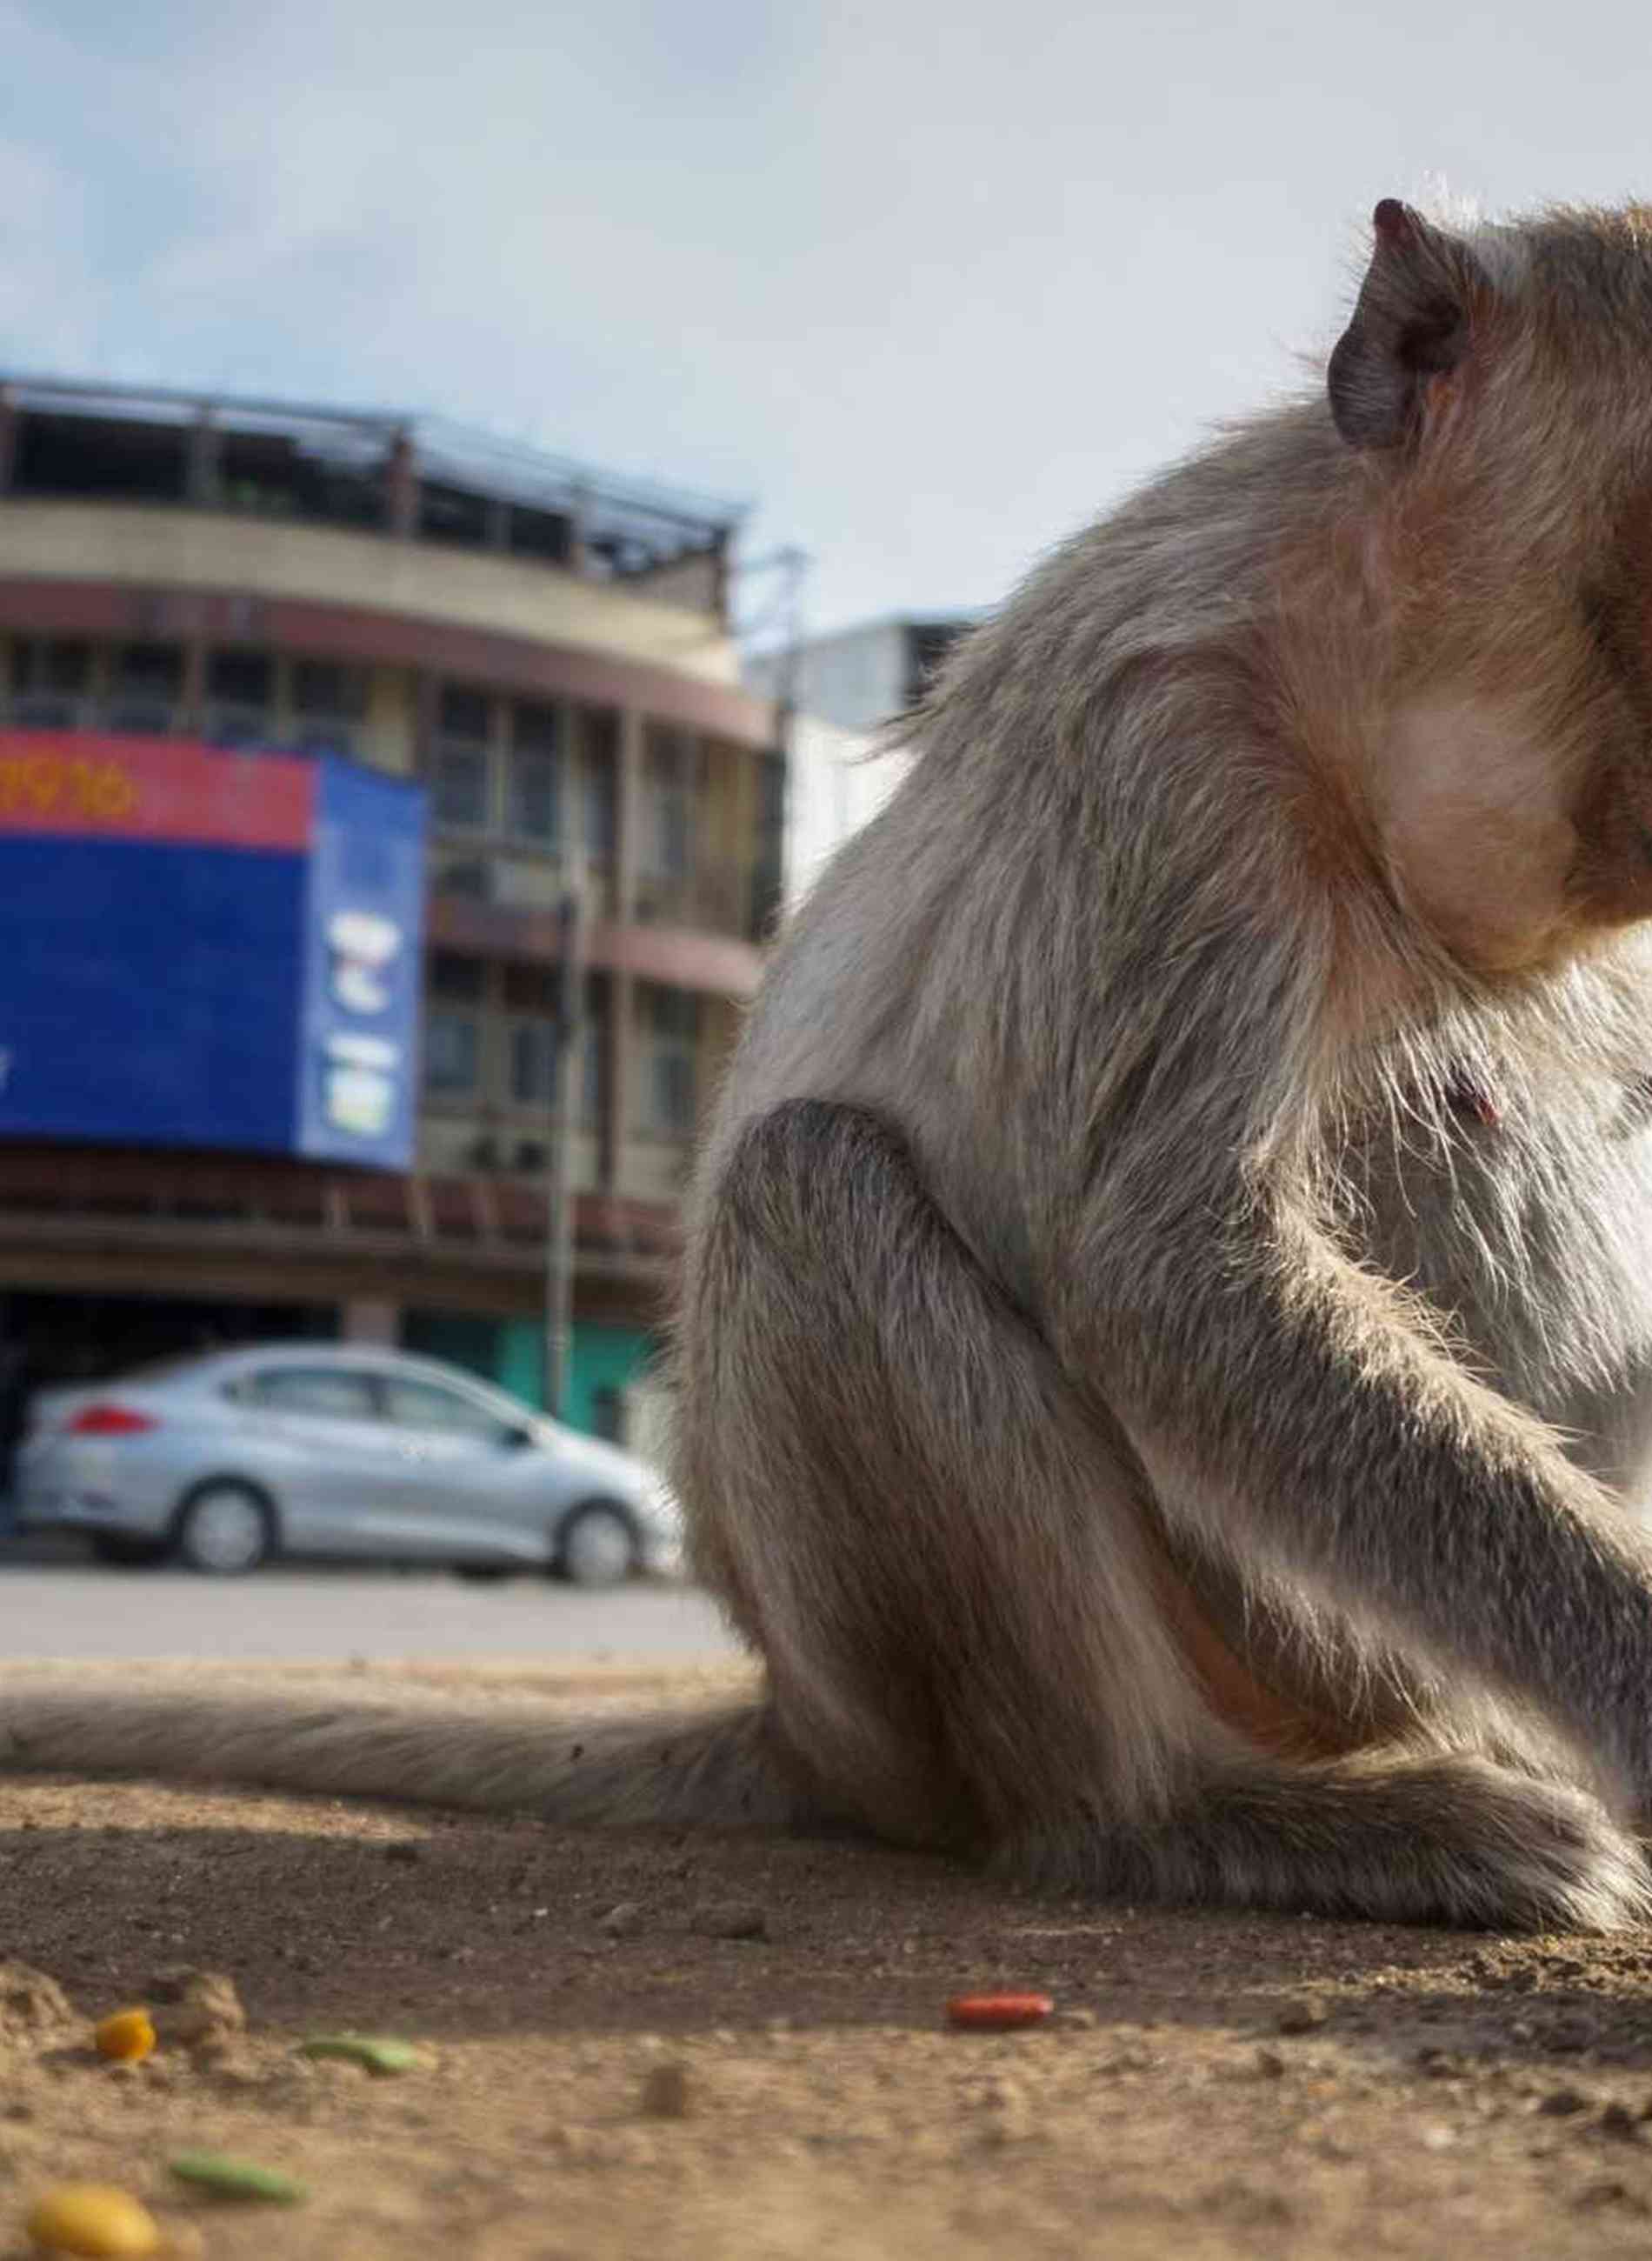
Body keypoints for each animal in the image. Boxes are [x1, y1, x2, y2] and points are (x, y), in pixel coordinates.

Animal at [16, 194, 1652, 1935]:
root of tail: (800, 1719)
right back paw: (1175, 1815)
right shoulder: (1170, 765)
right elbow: (1168, 1273)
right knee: (814, 1190)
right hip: (1097, 1669)